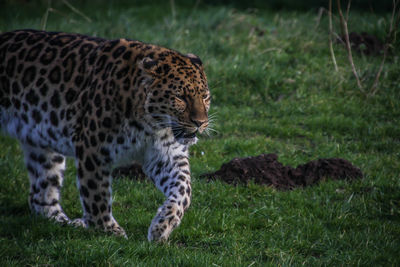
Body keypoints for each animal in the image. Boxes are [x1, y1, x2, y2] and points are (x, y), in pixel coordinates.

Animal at [0, 29, 211, 243]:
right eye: (180, 97)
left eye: (205, 96)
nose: (200, 123)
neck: (152, 125)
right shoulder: (92, 148)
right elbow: (96, 193)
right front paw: (108, 231)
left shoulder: (167, 155)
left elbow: (184, 190)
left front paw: (163, 225)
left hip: (42, 144)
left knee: (40, 196)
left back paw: (69, 223)